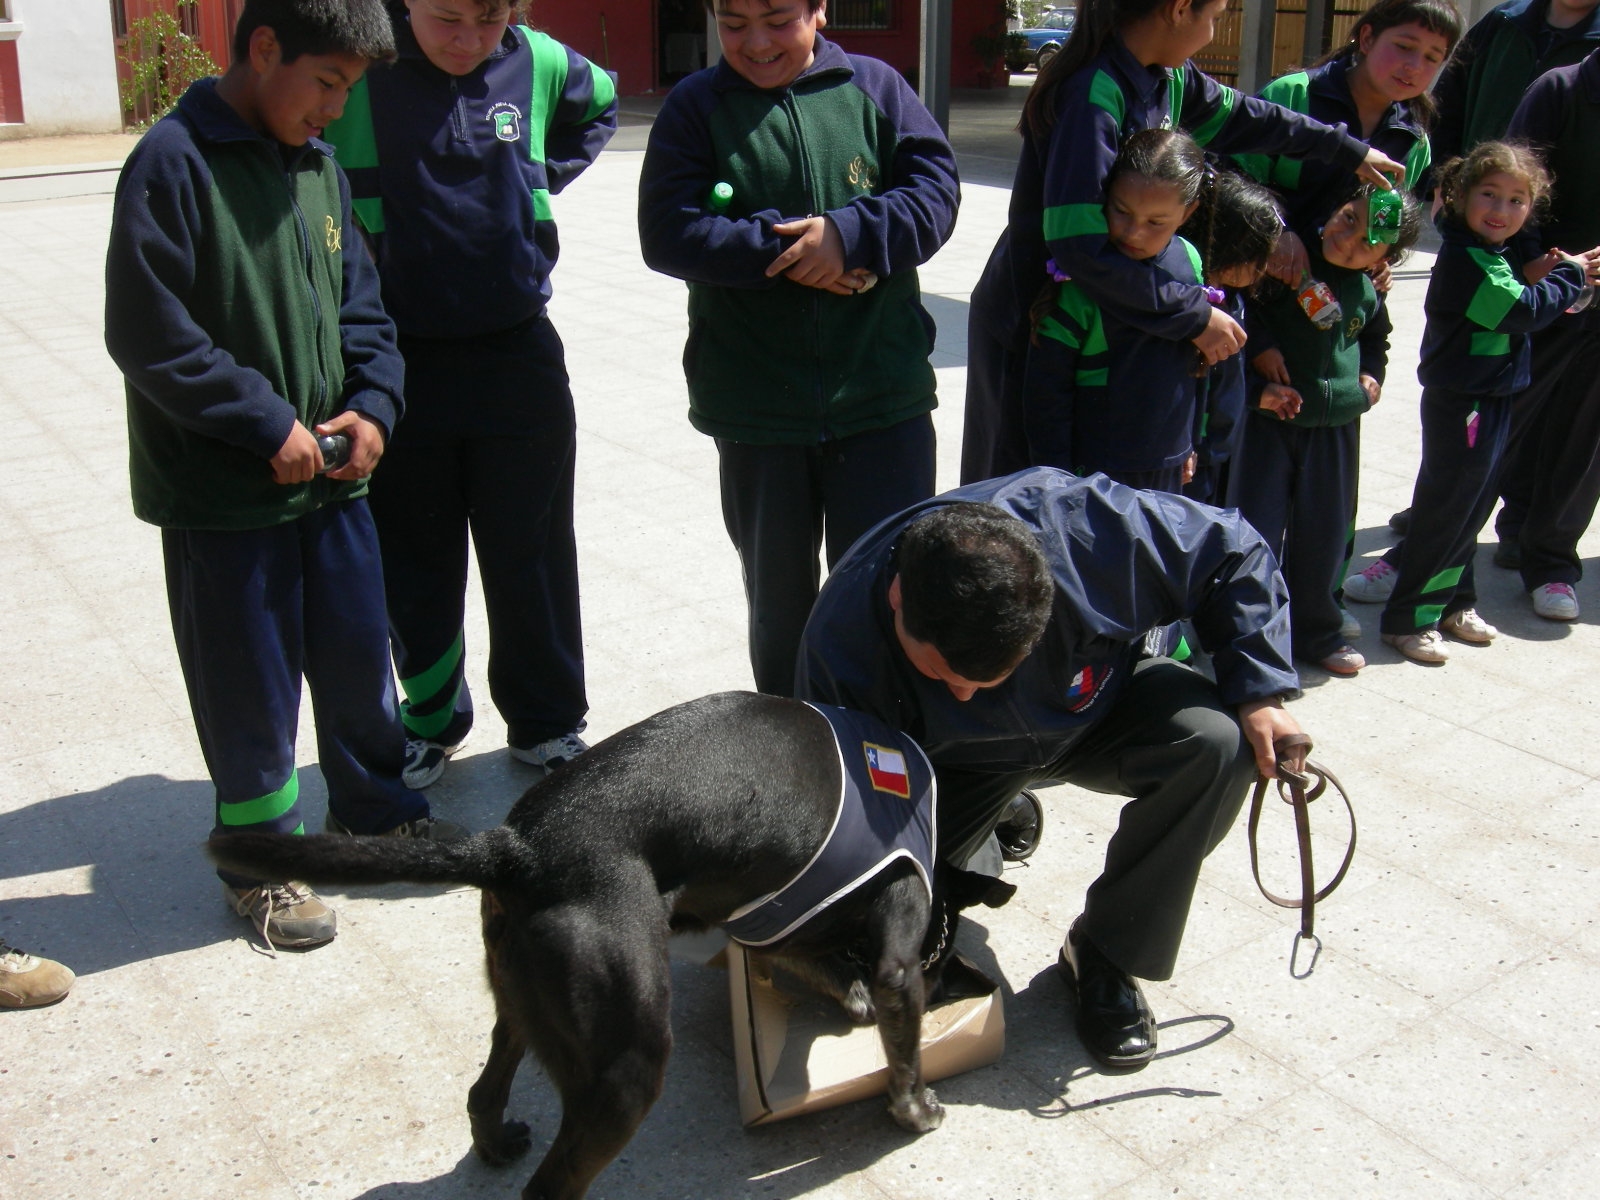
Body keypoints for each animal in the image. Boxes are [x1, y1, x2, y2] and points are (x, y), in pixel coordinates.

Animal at [209, 694, 1011, 1200]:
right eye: (939, 970)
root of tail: (516, 849)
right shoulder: (894, 956)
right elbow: (901, 1046)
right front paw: (915, 1110)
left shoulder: (769, 929)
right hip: (627, 1061)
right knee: (552, 1187)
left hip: (531, 1005)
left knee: (485, 1091)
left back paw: (495, 1142)